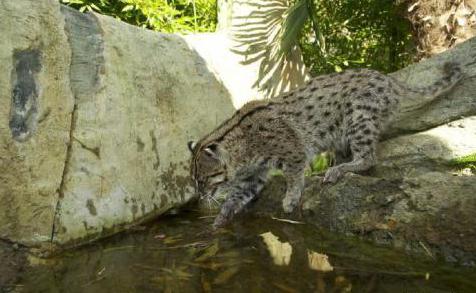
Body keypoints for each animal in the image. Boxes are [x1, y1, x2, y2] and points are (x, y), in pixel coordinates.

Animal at [188, 61, 462, 226]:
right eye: (195, 180)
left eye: (204, 179)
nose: (199, 196)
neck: (240, 146)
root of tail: (391, 81)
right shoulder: (254, 174)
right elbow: (238, 194)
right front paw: (222, 216)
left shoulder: (294, 148)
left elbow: (294, 174)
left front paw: (290, 197)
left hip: (358, 117)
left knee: (369, 158)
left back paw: (339, 169)